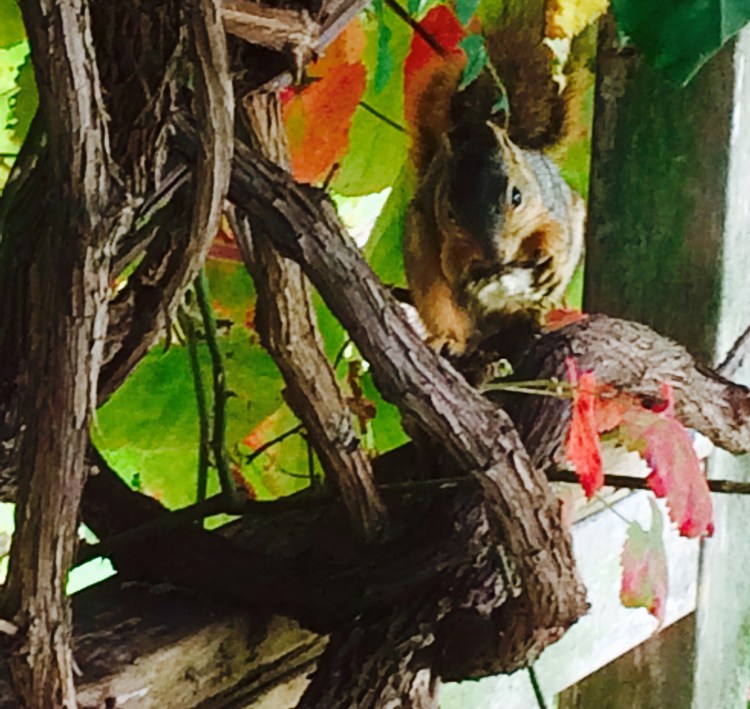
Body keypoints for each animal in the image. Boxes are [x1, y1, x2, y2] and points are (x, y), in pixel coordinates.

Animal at [403, 28, 586, 357]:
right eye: (450, 213)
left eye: (517, 197)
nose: (495, 256)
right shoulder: (448, 238)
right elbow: (452, 266)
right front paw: (471, 273)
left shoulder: (551, 204)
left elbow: (556, 233)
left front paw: (551, 263)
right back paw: (449, 338)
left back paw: (532, 315)